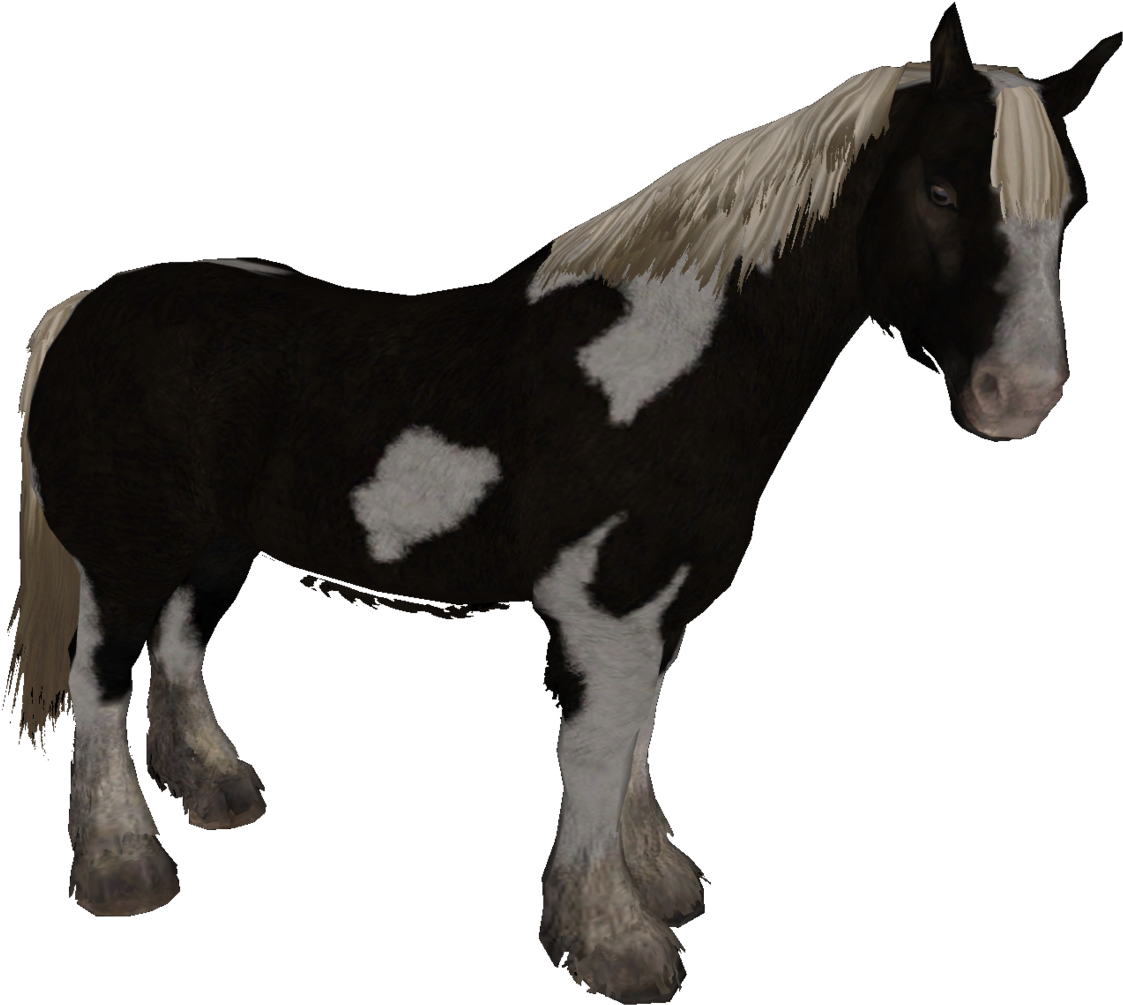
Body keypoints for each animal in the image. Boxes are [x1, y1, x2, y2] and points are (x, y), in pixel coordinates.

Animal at [6, 6, 1117, 1001]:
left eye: (1065, 216)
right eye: (939, 189)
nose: (1019, 397)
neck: (657, 371)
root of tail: (87, 305)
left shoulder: (663, 609)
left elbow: (640, 737)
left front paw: (656, 878)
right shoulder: (606, 608)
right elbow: (592, 749)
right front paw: (612, 938)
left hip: (217, 547)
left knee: (180, 651)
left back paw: (217, 787)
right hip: (126, 554)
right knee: (103, 679)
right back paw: (121, 864)